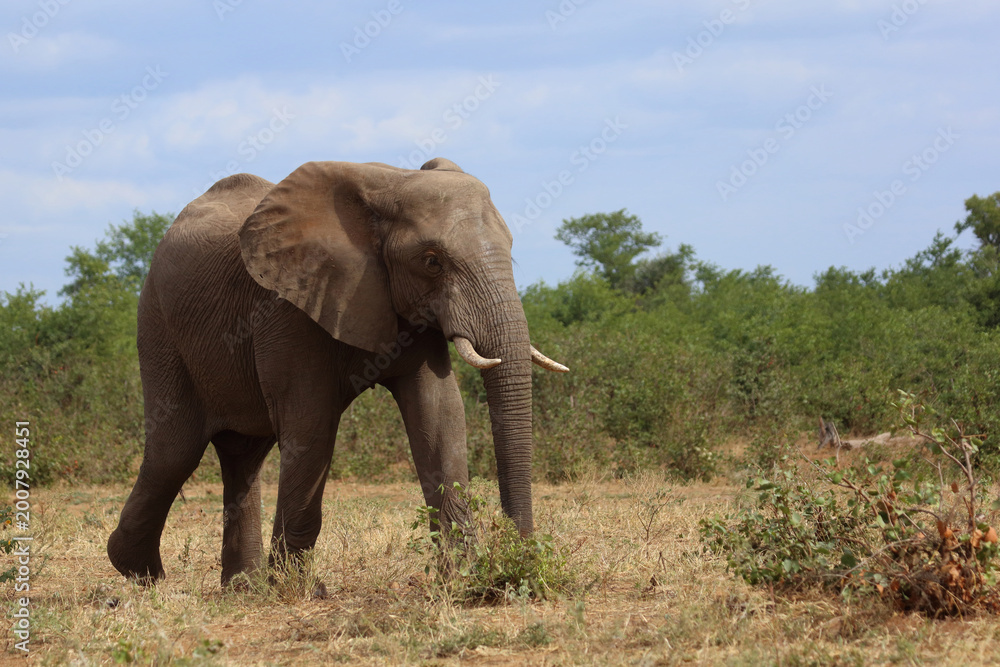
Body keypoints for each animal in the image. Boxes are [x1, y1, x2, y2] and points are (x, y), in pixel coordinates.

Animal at [107, 157, 568, 586]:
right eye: (432, 261)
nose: (521, 551)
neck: (389, 183)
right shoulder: (287, 305)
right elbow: (311, 424)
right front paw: (297, 590)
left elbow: (440, 414)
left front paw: (463, 577)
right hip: (159, 327)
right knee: (175, 449)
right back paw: (139, 571)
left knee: (243, 455)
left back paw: (242, 588)